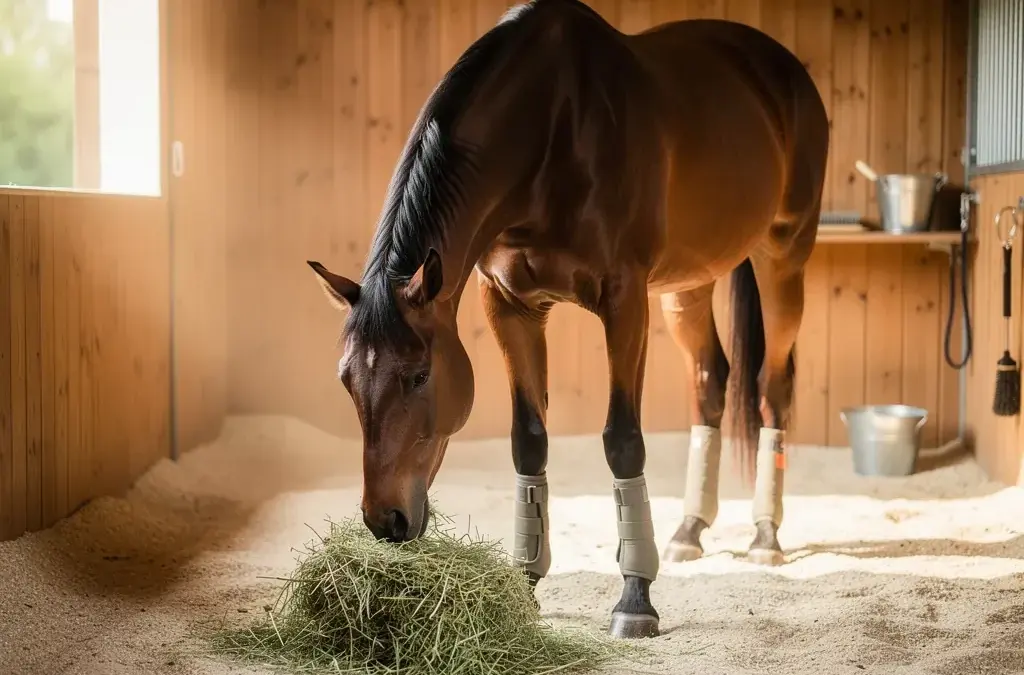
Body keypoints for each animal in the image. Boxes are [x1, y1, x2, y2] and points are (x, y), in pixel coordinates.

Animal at [307, 0, 828, 639]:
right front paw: (525, 582)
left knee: (772, 387)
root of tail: (781, 67)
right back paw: (688, 531)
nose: (386, 520)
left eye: (419, 375)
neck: (551, 130)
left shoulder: (624, 300)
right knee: (711, 381)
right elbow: (529, 441)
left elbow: (623, 442)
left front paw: (635, 599)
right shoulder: (510, 304)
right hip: (689, 284)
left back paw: (765, 536)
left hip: (784, 257)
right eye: (346, 380)